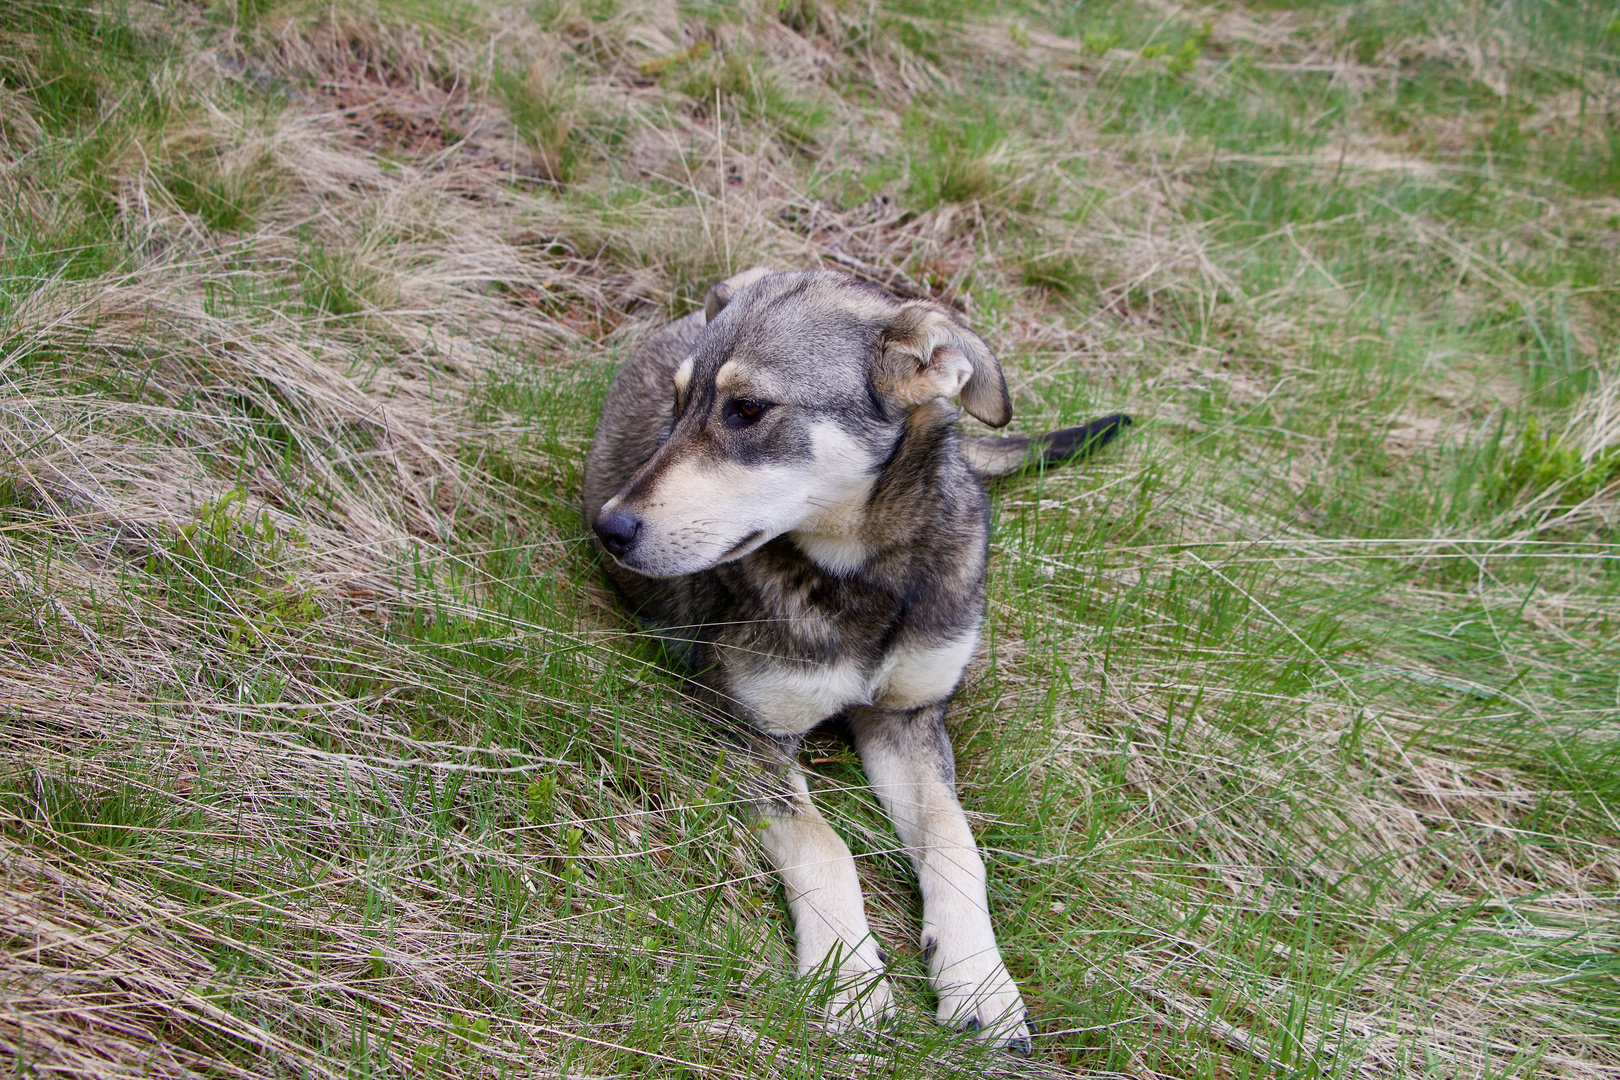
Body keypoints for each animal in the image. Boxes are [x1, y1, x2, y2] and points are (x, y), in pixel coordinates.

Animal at [583, 270, 1127, 1055]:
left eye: (748, 410)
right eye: (678, 405)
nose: (609, 527)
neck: (861, 575)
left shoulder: (907, 718)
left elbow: (956, 843)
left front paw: (980, 982)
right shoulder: (750, 733)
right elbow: (824, 844)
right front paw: (849, 978)